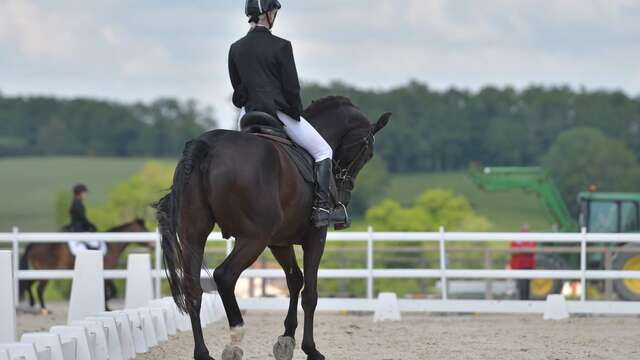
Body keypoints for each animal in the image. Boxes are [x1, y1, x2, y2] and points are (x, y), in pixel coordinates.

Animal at [19, 218, 150, 314]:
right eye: (143, 230)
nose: (152, 245)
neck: (111, 245)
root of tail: (33, 244)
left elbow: (111, 291)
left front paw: (106, 307)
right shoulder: (107, 272)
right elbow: (112, 291)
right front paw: (106, 307)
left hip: (39, 271)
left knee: (29, 284)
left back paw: (33, 304)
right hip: (46, 271)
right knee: (39, 289)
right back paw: (44, 309)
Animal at [158, 96, 392, 360]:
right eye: (367, 153)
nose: (344, 195)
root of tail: (208, 146)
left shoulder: (279, 242)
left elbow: (294, 280)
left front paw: (286, 340)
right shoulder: (315, 237)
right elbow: (310, 293)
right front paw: (311, 349)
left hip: (193, 237)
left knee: (192, 288)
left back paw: (203, 353)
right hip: (253, 239)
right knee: (225, 276)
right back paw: (235, 340)